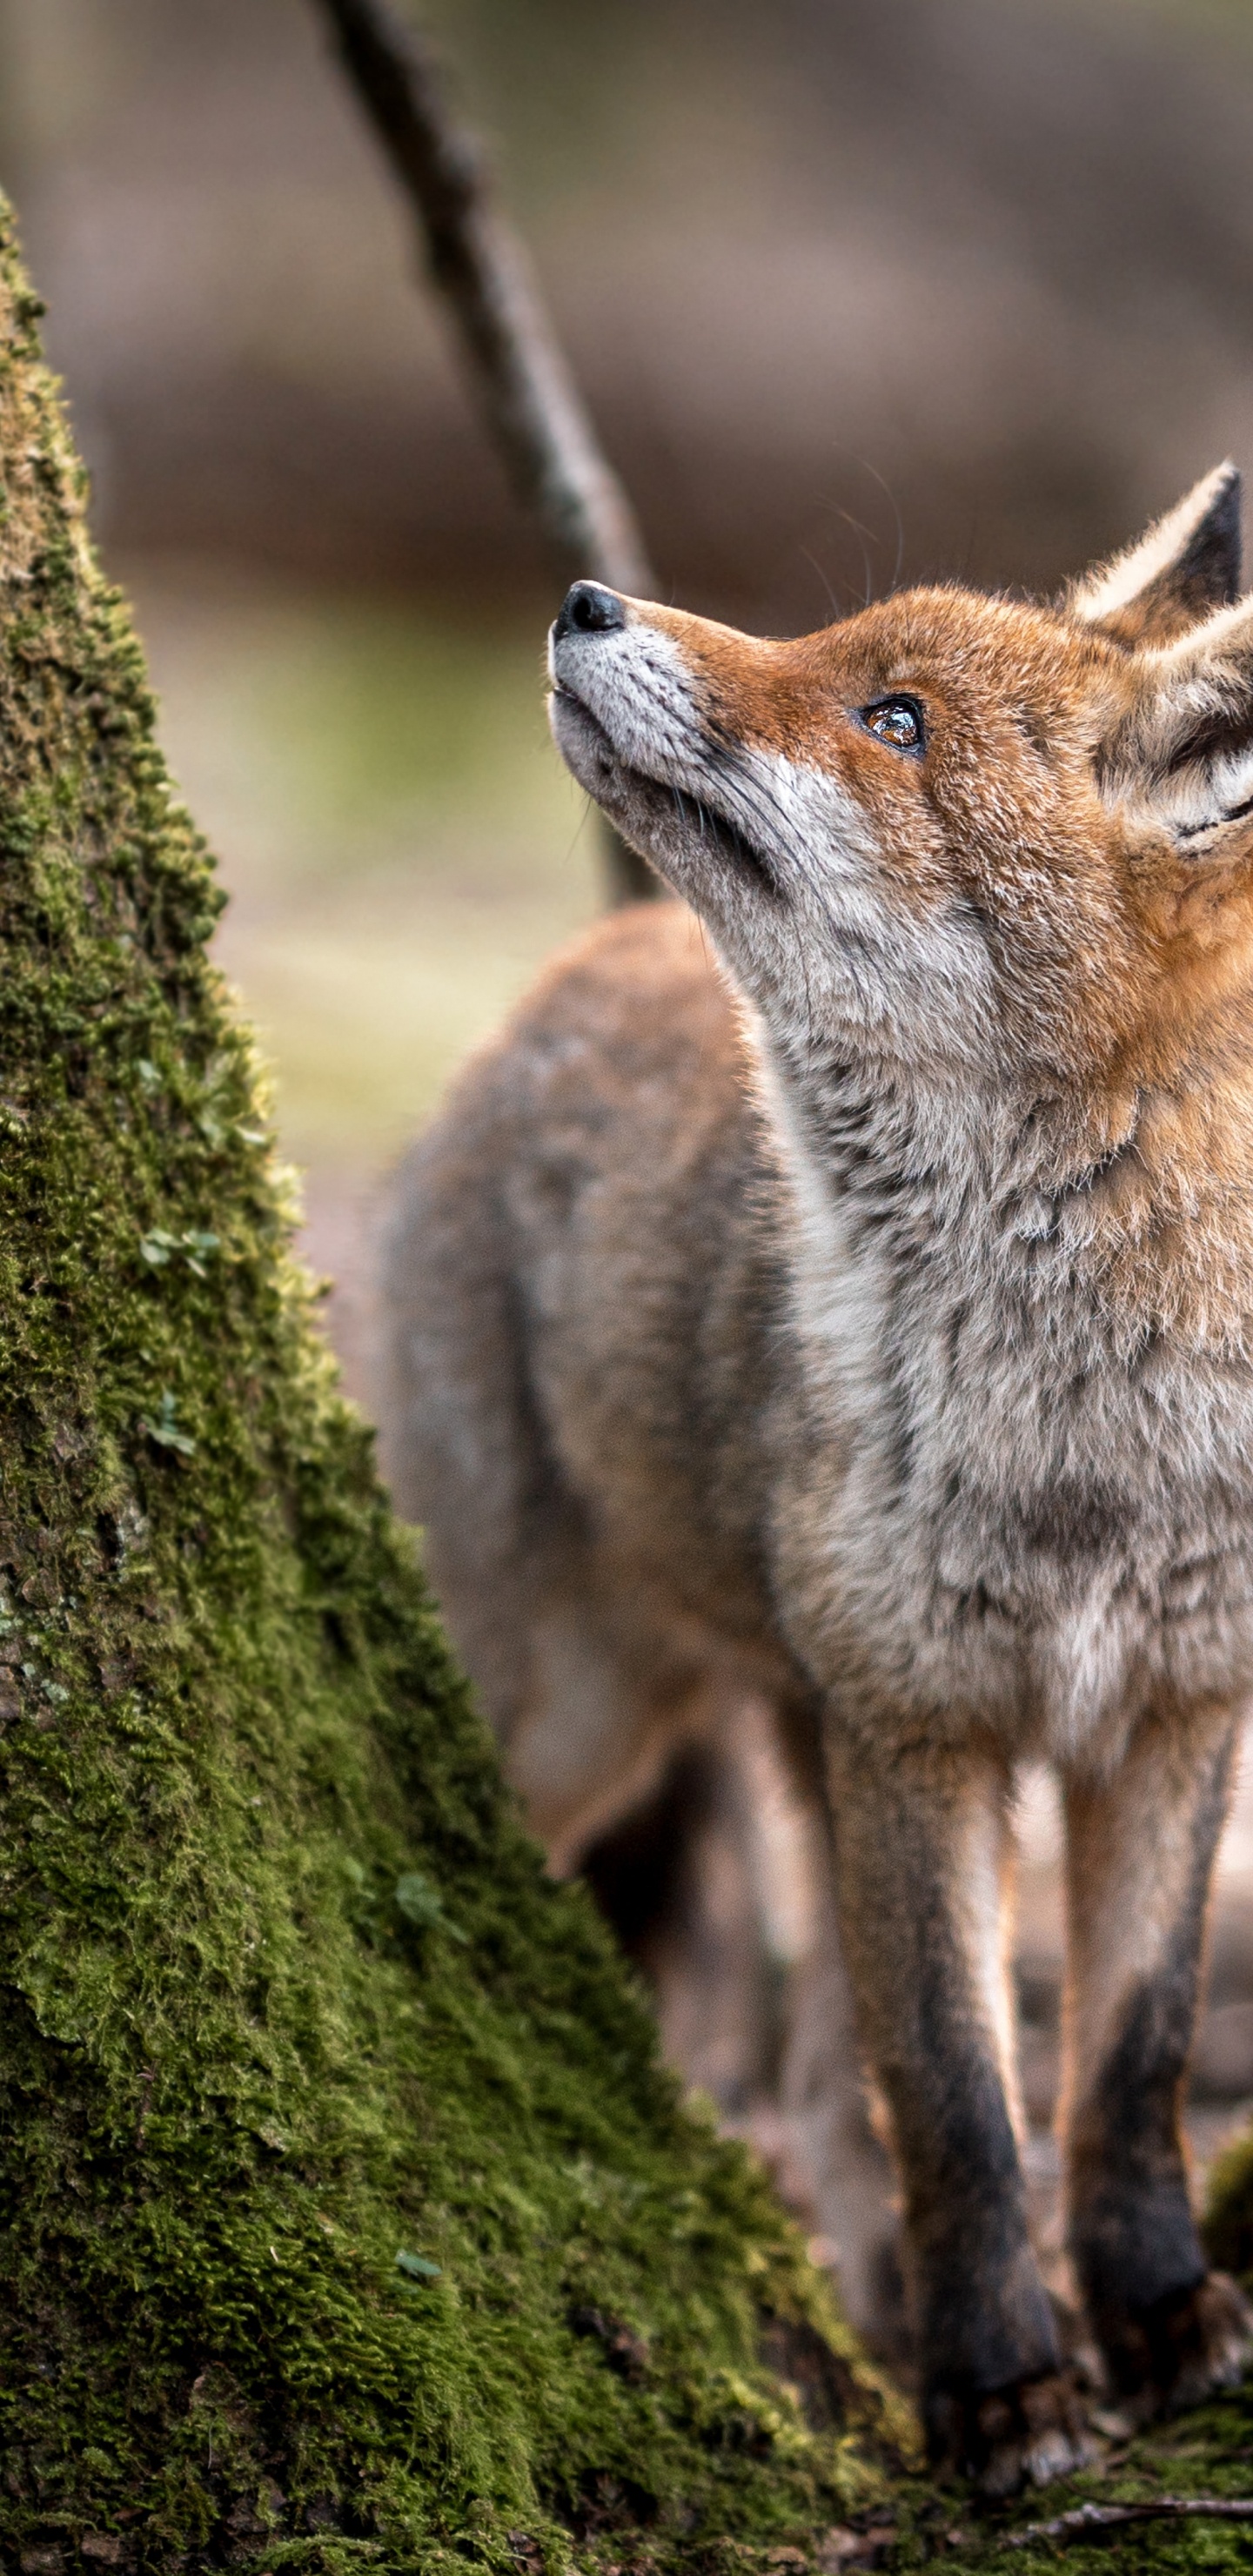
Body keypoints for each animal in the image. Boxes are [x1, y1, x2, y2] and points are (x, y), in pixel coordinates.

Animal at [381, 464, 1253, 2488]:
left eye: (897, 721)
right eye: (843, 661)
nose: (587, 599)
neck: (1075, 1432)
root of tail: (568, 965)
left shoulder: (1177, 1709)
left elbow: (1126, 2063)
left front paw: (1157, 2314)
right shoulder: (912, 1725)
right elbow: (954, 2101)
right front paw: (1000, 2387)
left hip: (777, 1722)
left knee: (803, 2087)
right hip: (581, 1717)